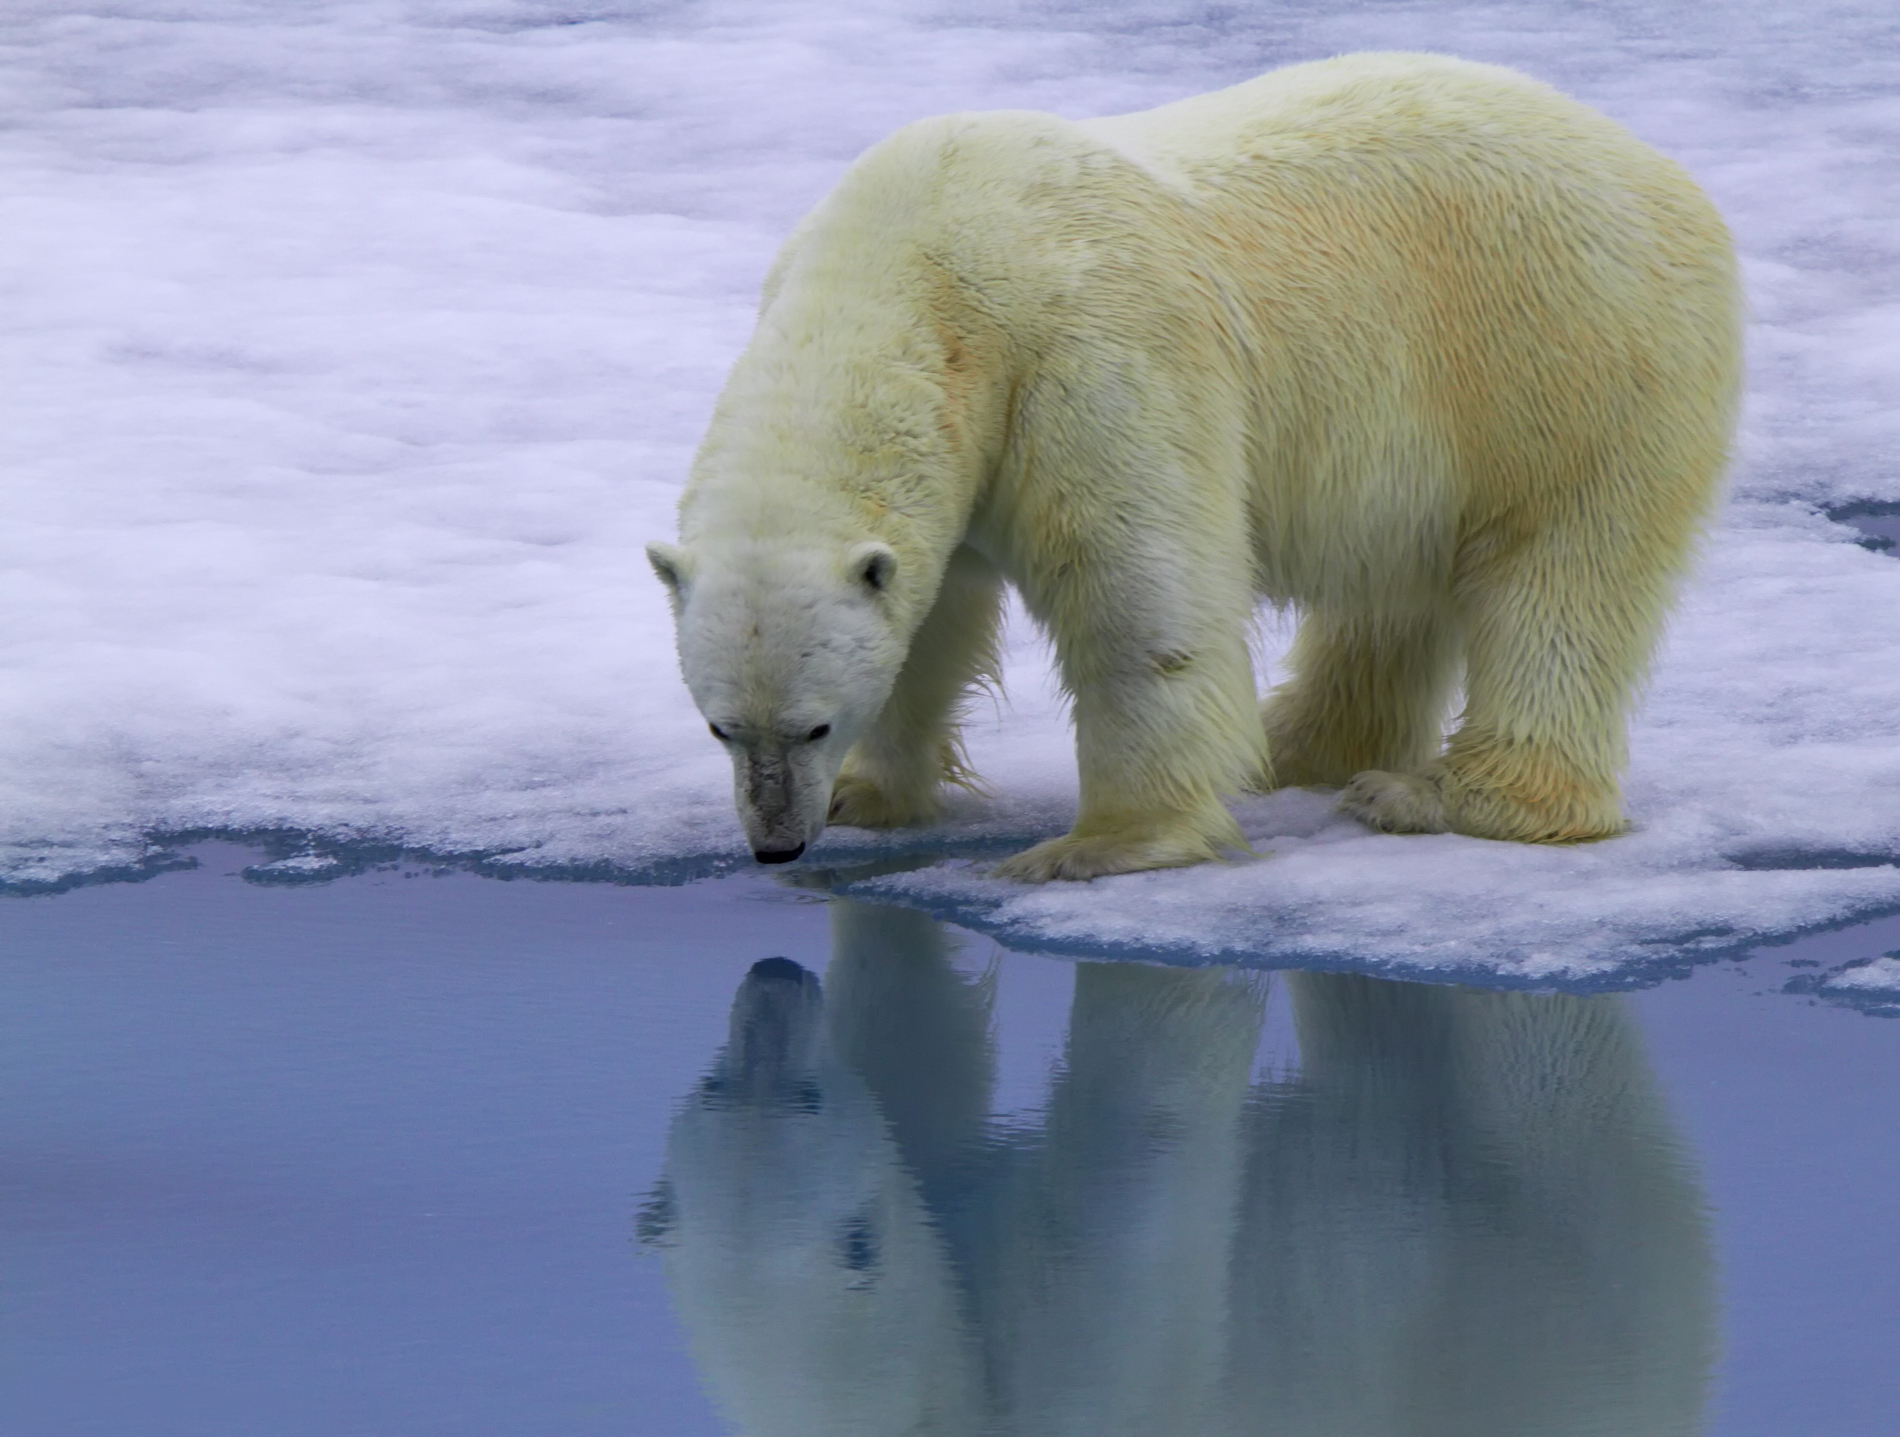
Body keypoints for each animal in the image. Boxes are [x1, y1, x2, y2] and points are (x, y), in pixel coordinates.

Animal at [649, 53, 1740, 874]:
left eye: (810, 726)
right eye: (720, 728)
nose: (776, 844)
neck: (920, 254)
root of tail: (1671, 177)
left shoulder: (1085, 352)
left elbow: (1135, 591)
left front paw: (1099, 845)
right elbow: (936, 612)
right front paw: (874, 794)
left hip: (1559, 356)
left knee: (1556, 577)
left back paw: (1432, 794)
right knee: (1393, 589)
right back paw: (1299, 746)